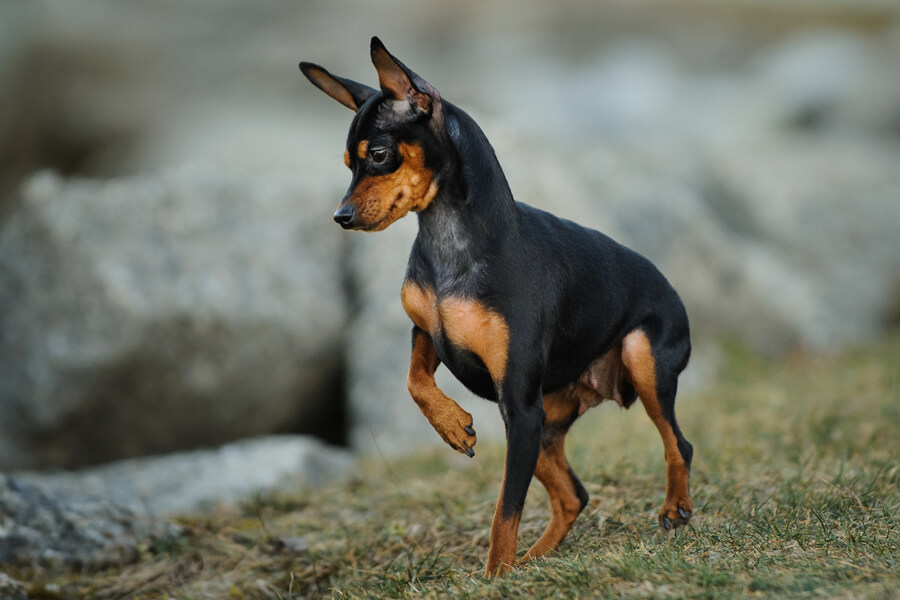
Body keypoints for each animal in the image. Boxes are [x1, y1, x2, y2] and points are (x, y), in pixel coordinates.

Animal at [298, 38, 692, 576]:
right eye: (346, 163)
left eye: (378, 155)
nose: (341, 216)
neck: (450, 244)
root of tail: (672, 289)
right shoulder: (429, 335)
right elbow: (413, 382)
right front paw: (453, 426)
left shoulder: (518, 407)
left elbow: (505, 511)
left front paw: (493, 578)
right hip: (545, 423)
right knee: (574, 495)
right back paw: (534, 561)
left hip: (634, 363)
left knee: (678, 443)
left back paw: (674, 508)